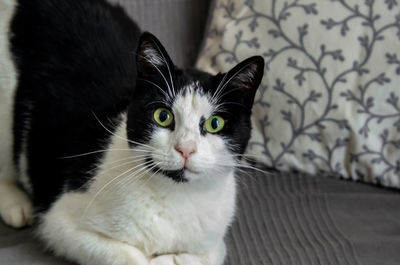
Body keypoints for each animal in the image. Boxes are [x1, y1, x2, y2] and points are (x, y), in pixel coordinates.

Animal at [0, 0, 266, 264]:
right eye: (162, 116)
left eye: (214, 123)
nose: (185, 149)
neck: (176, 198)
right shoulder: (59, 223)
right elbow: (131, 257)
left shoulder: (213, 243)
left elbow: (202, 256)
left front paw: (163, 259)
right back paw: (16, 204)